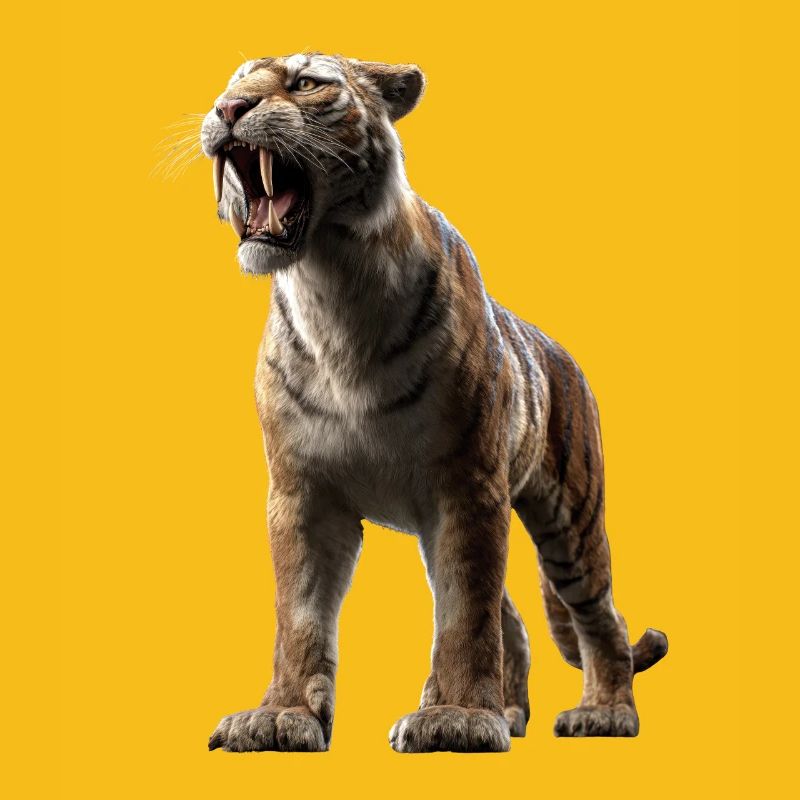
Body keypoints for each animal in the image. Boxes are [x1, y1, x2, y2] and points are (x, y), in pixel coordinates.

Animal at [200, 52, 668, 753]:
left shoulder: (466, 487)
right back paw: (512, 711)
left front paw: (456, 718)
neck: (331, 286)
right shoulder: (302, 492)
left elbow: (464, 615)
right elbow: (299, 613)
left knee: (600, 619)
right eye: (233, 84)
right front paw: (281, 715)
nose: (229, 109)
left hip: (571, 521)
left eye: (306, 83)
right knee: (515, 623)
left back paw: (605, 714)